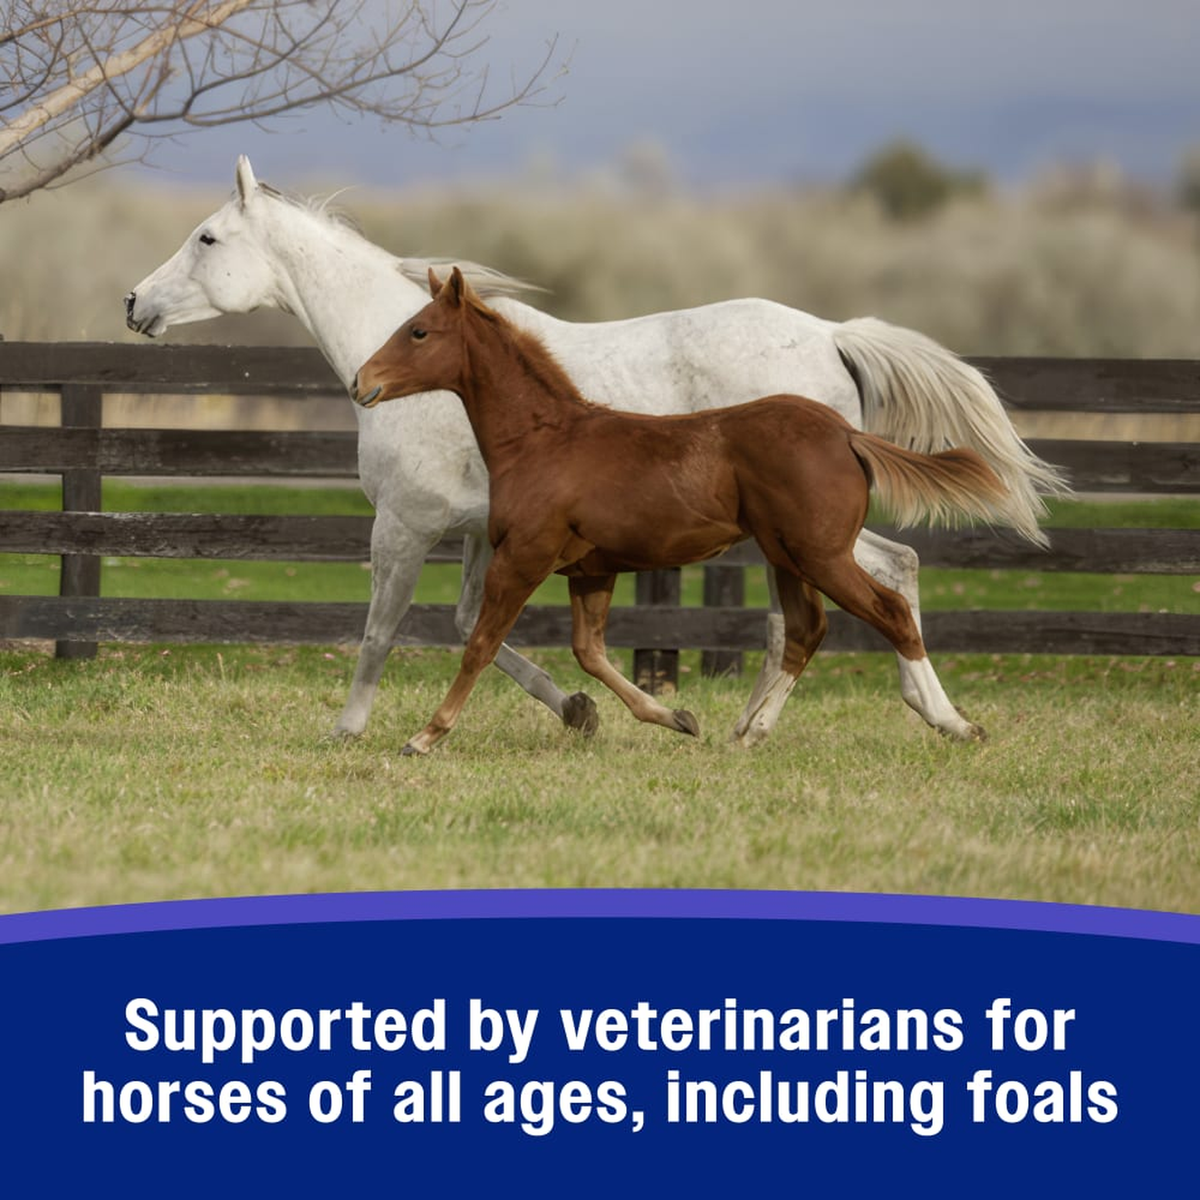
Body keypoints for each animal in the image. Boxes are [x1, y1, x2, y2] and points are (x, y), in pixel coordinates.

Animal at [352, 267, 1013, 755]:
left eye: (418, 332)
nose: (362, 381)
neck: (544, 439)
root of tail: (845, 434)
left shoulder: (524, 557)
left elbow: (483, 644)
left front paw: (424, 736)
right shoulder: (592, 570)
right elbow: (590, 652)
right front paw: (675, 717)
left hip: (821, 553)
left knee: (890, 610)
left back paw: (955, 723)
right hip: (789, 557)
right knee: (805, 630)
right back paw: (750, 733)